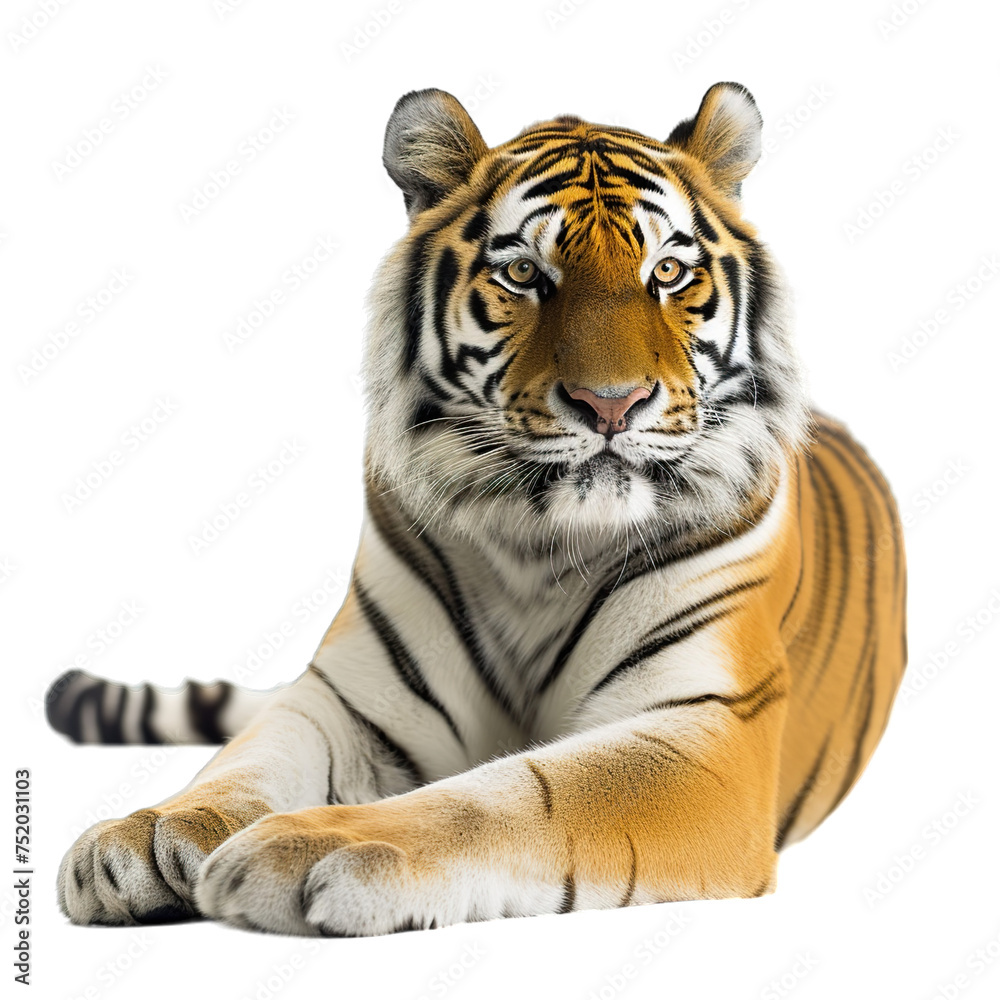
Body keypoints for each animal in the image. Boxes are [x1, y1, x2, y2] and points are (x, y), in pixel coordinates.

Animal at [48, 82, 906, 937]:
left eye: (666, 271)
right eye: (525, 274)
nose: (612, 404)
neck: (543, 550)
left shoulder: (704, 733)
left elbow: (521, 793)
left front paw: (311, 847)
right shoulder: (346, 699)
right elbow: (252, 754)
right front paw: (149, 832)